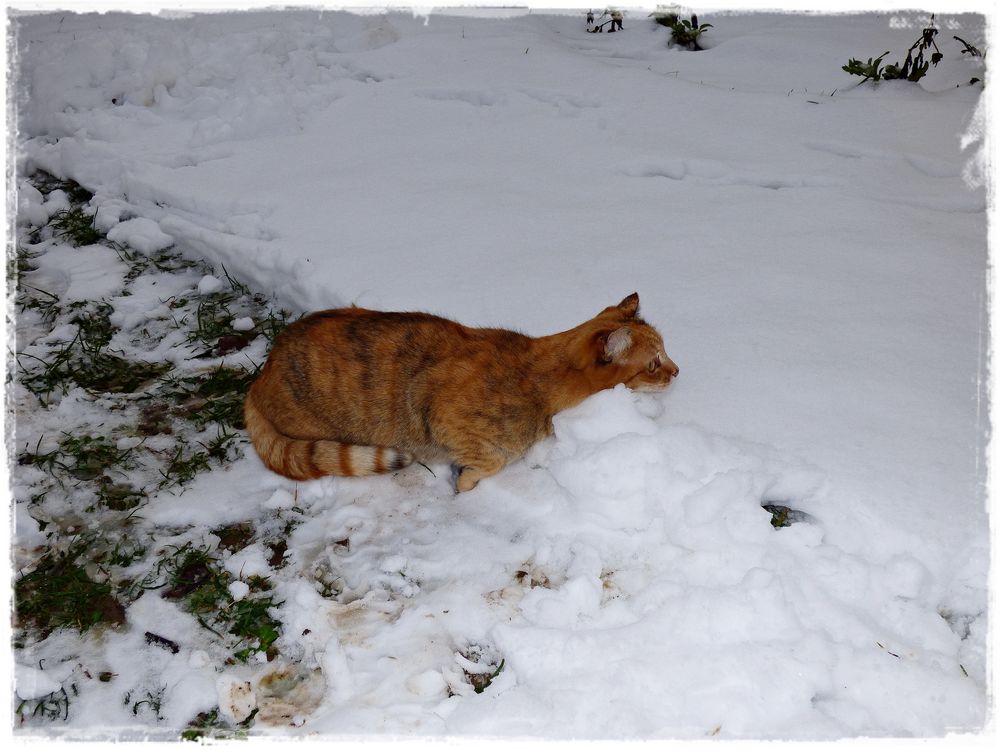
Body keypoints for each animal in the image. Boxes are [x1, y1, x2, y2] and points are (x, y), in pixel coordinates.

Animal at [244, 294, 680, 494]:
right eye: (654, 363)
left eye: (666, 354)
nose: (677, 371)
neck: (539, 374)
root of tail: (261, 376)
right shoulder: (443, 415)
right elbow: (489, 462)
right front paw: (464, 481)